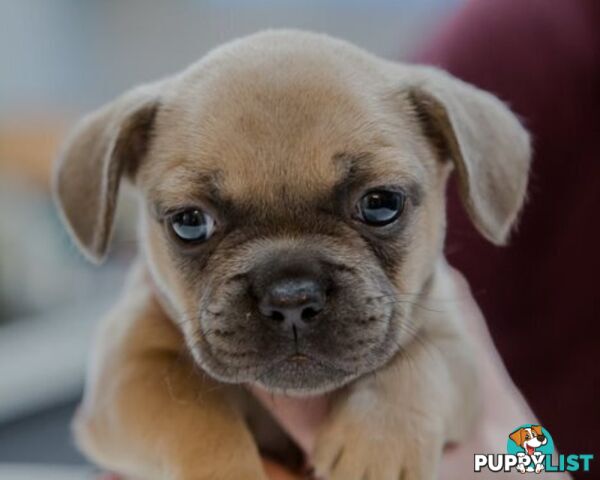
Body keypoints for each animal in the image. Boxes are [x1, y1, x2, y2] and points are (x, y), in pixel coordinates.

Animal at [51, 31, 528, 480]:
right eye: (189, 222)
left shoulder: (454, 343)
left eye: (381, 204)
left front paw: (378, 447)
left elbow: (420, 363)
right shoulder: (126, 373)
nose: (292, 298)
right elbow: (192, 413)